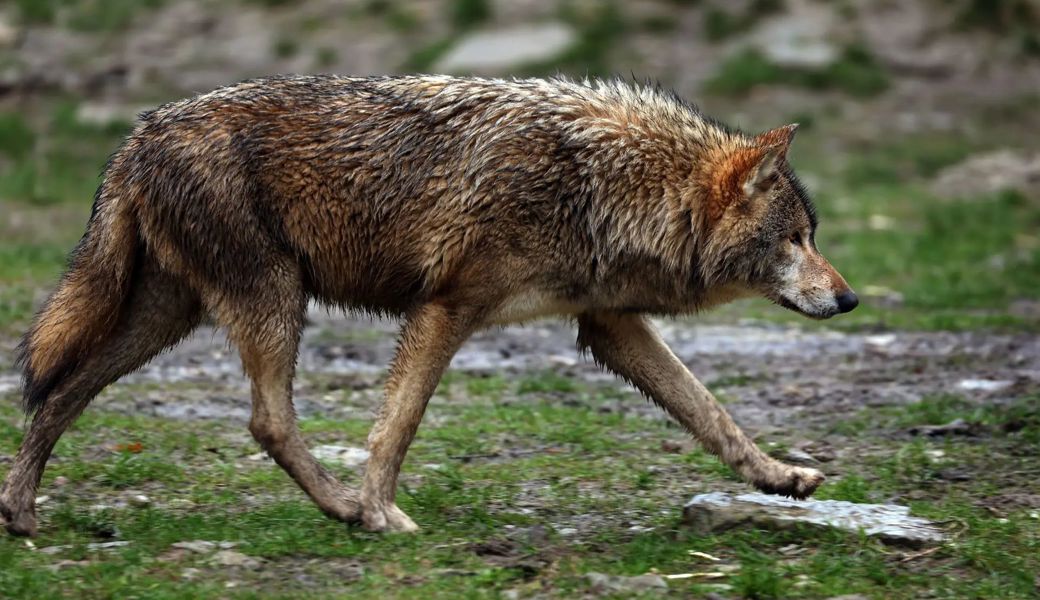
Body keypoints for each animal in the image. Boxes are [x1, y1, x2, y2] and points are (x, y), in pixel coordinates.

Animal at [0, 75, 857, 535]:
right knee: (266, 421)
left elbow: (712, 412)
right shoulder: (446, 308)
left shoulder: (608, 326)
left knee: (60, 392)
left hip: (171, 316)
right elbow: (399, 426)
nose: (850, 298)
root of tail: (137, 133)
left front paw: (781, 478)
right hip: (272, 301)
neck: (605, 186)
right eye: (798, 238)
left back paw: (21, 513)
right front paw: (381, 513)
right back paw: (345, 510)